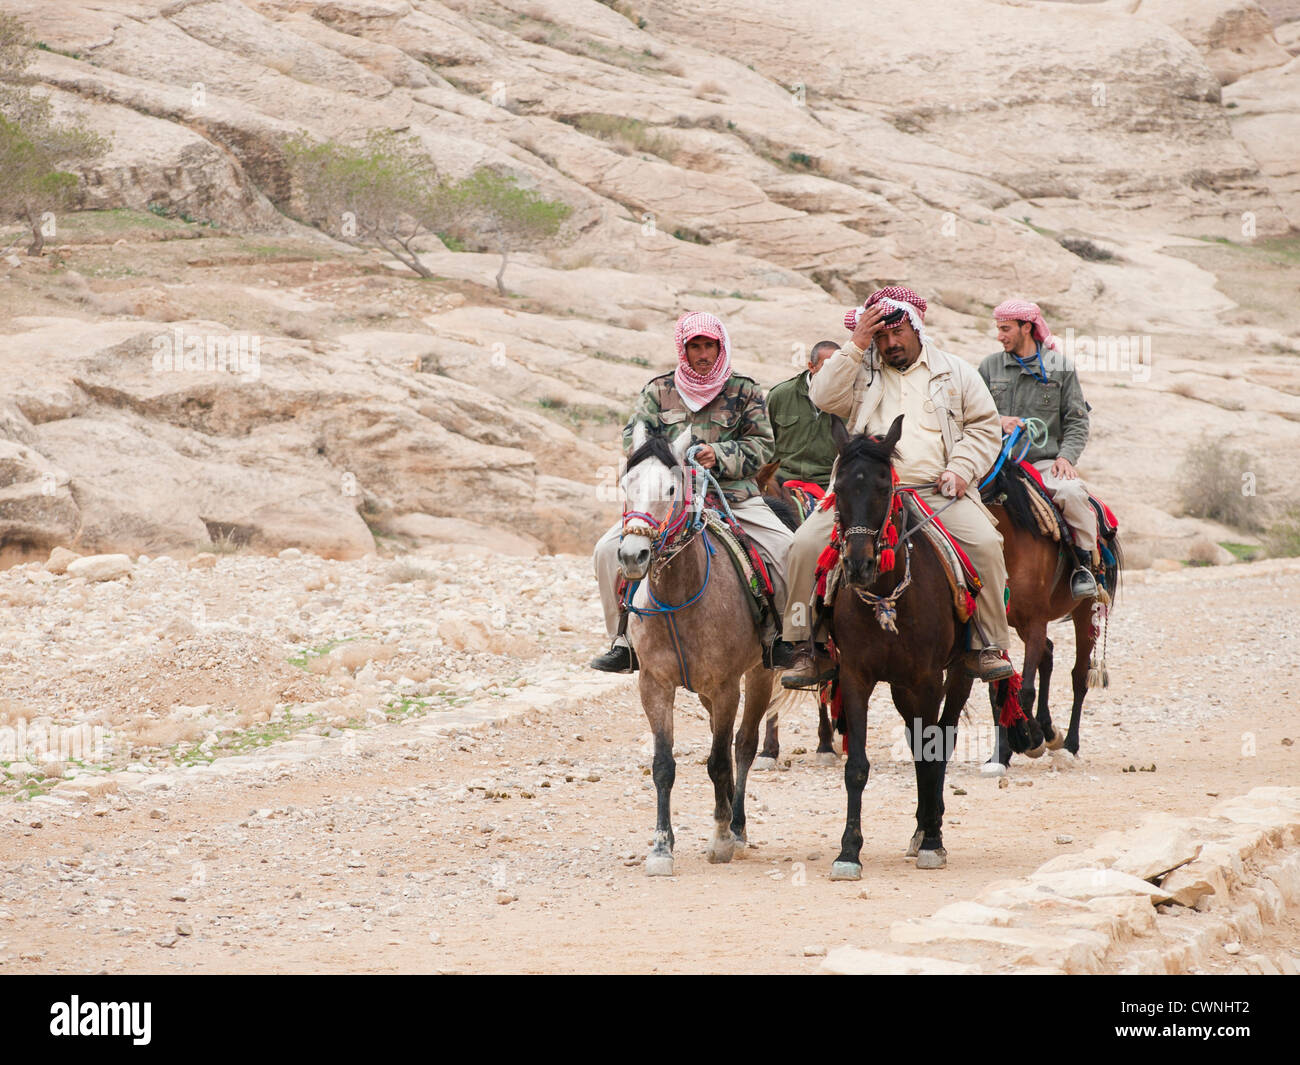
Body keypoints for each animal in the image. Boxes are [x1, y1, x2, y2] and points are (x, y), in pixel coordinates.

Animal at [616, 421, 790, 879]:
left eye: (671, 488)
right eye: (625, 484)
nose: (633, 555)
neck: (679, 598)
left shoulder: (727, 686)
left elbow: (720, 760)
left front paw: (721, 838)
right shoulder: (654, 685)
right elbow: (663, 766)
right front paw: (661, 847)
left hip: (760, 674)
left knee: (742, 746)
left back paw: (738, 827)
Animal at [821, 418, 977, 884]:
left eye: (881, 486)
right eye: (838, 486)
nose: (858, 564)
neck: (887, 595)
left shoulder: (928, 679)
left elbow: (930, 756)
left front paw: (933, 842)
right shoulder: (856, 677)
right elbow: (857, 767)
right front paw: (848, 851)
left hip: (956, 676)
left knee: (941, 741)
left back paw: (930, 827)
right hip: (901, 688)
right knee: (916, 737)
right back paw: (922, 824)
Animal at [977, 462, 1123, 769]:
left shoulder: (1035, 621)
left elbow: (1025, 689)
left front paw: (1029, 739)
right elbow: (998, 690)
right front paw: (1002, 753)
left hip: (1083, 613)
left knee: (1078, 676)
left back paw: (1068, 743)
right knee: (1048, 654)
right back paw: (1047, 728)